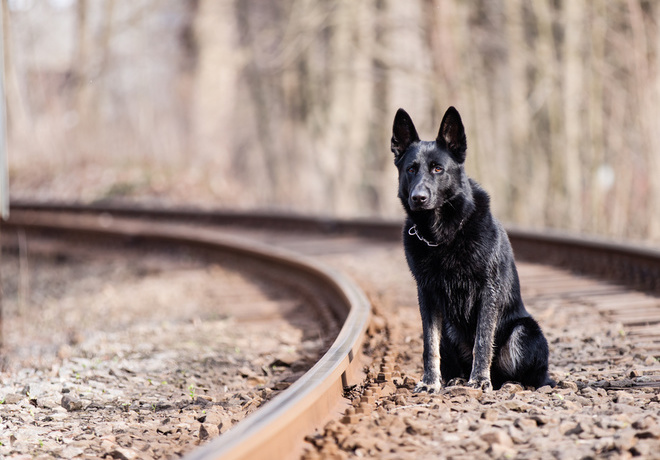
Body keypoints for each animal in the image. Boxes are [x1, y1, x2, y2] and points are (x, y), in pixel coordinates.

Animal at [392, 107, 556, 392]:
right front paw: (430, 382)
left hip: (524, 332)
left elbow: (482, 340)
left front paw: (479, 379)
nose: (418, 198)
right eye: (411, 169)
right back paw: (455, 378)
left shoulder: (487, 291)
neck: (442, 236)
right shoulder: (427, 294)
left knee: (522, 374)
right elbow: (429, 344)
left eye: (438, 169)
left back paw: (506, 382)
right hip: (449, 329)